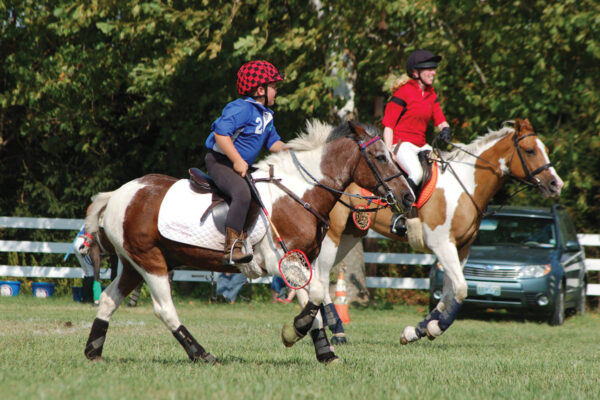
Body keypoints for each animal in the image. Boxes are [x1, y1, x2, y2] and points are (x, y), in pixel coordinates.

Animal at [82, 120, 414, 364]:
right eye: (381, 157)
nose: (408, 196)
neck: (300, 193)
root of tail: (119, 194)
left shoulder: (300, 261)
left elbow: (315, 302)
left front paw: (324, 352)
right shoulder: (282, 263)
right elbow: (317, 298)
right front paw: (294, 332)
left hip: (132, 264)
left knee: (109, 299)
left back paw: (93, 352)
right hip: (151, 262)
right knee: (165, 309)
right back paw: (202, 354)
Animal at [288, 117, 564, 346]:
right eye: (530, 151)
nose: (556, 184)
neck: (466, 185)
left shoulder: (461, 248)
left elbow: (449, 294)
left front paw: (417, 331)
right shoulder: (442, 245)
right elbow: (461, 289)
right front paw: (434, 328)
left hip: (350, 235)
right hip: (333, 236)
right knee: (321, 278)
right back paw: (335, 329)